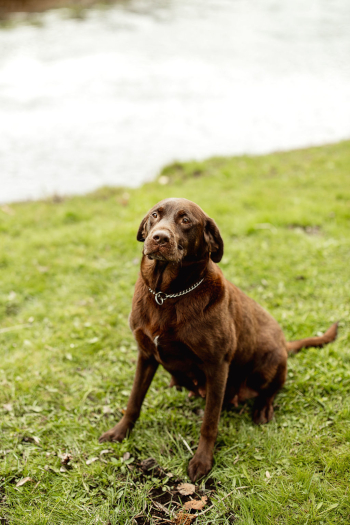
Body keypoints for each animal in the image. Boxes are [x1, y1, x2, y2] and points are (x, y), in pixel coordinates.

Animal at [99, 199, 340, 482]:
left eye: (186, 220)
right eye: (155, 215)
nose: (159, 237)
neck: (166, 295)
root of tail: (284, 343)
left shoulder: (216, 366)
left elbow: (209, 422)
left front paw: (202, 461)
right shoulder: (146, 355)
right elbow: (134, 401)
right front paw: (119, 432)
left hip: (271, 362)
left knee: (272, 388)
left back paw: (262, 409)